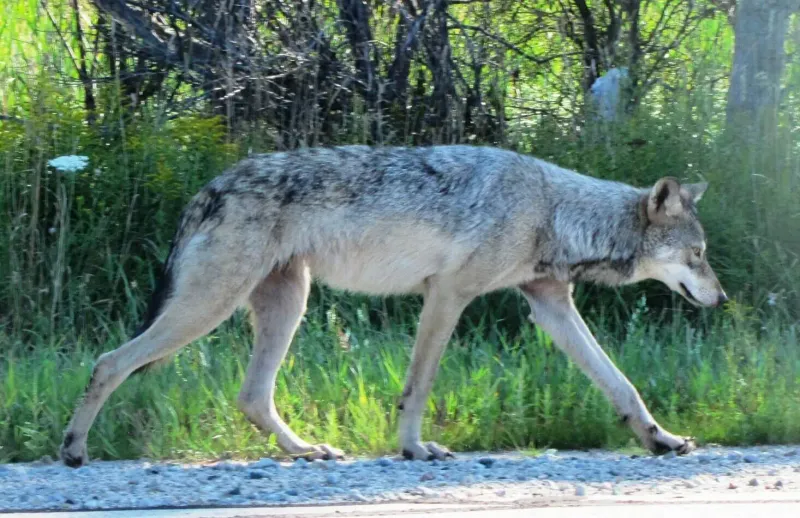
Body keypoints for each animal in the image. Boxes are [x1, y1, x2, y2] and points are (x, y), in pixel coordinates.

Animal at [59, 145, 728, 468]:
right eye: (697, 255)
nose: (722, 298)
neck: (552, 209)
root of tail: (209, 187)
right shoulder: (448, 295)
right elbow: (419, 386)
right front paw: (414, 449)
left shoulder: (551, 307)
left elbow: (621, 384)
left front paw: (661, 440)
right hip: (208, 309)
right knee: (108, 363)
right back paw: (73, 450)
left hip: (286, 305)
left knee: (252, 397)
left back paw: (308, 451)